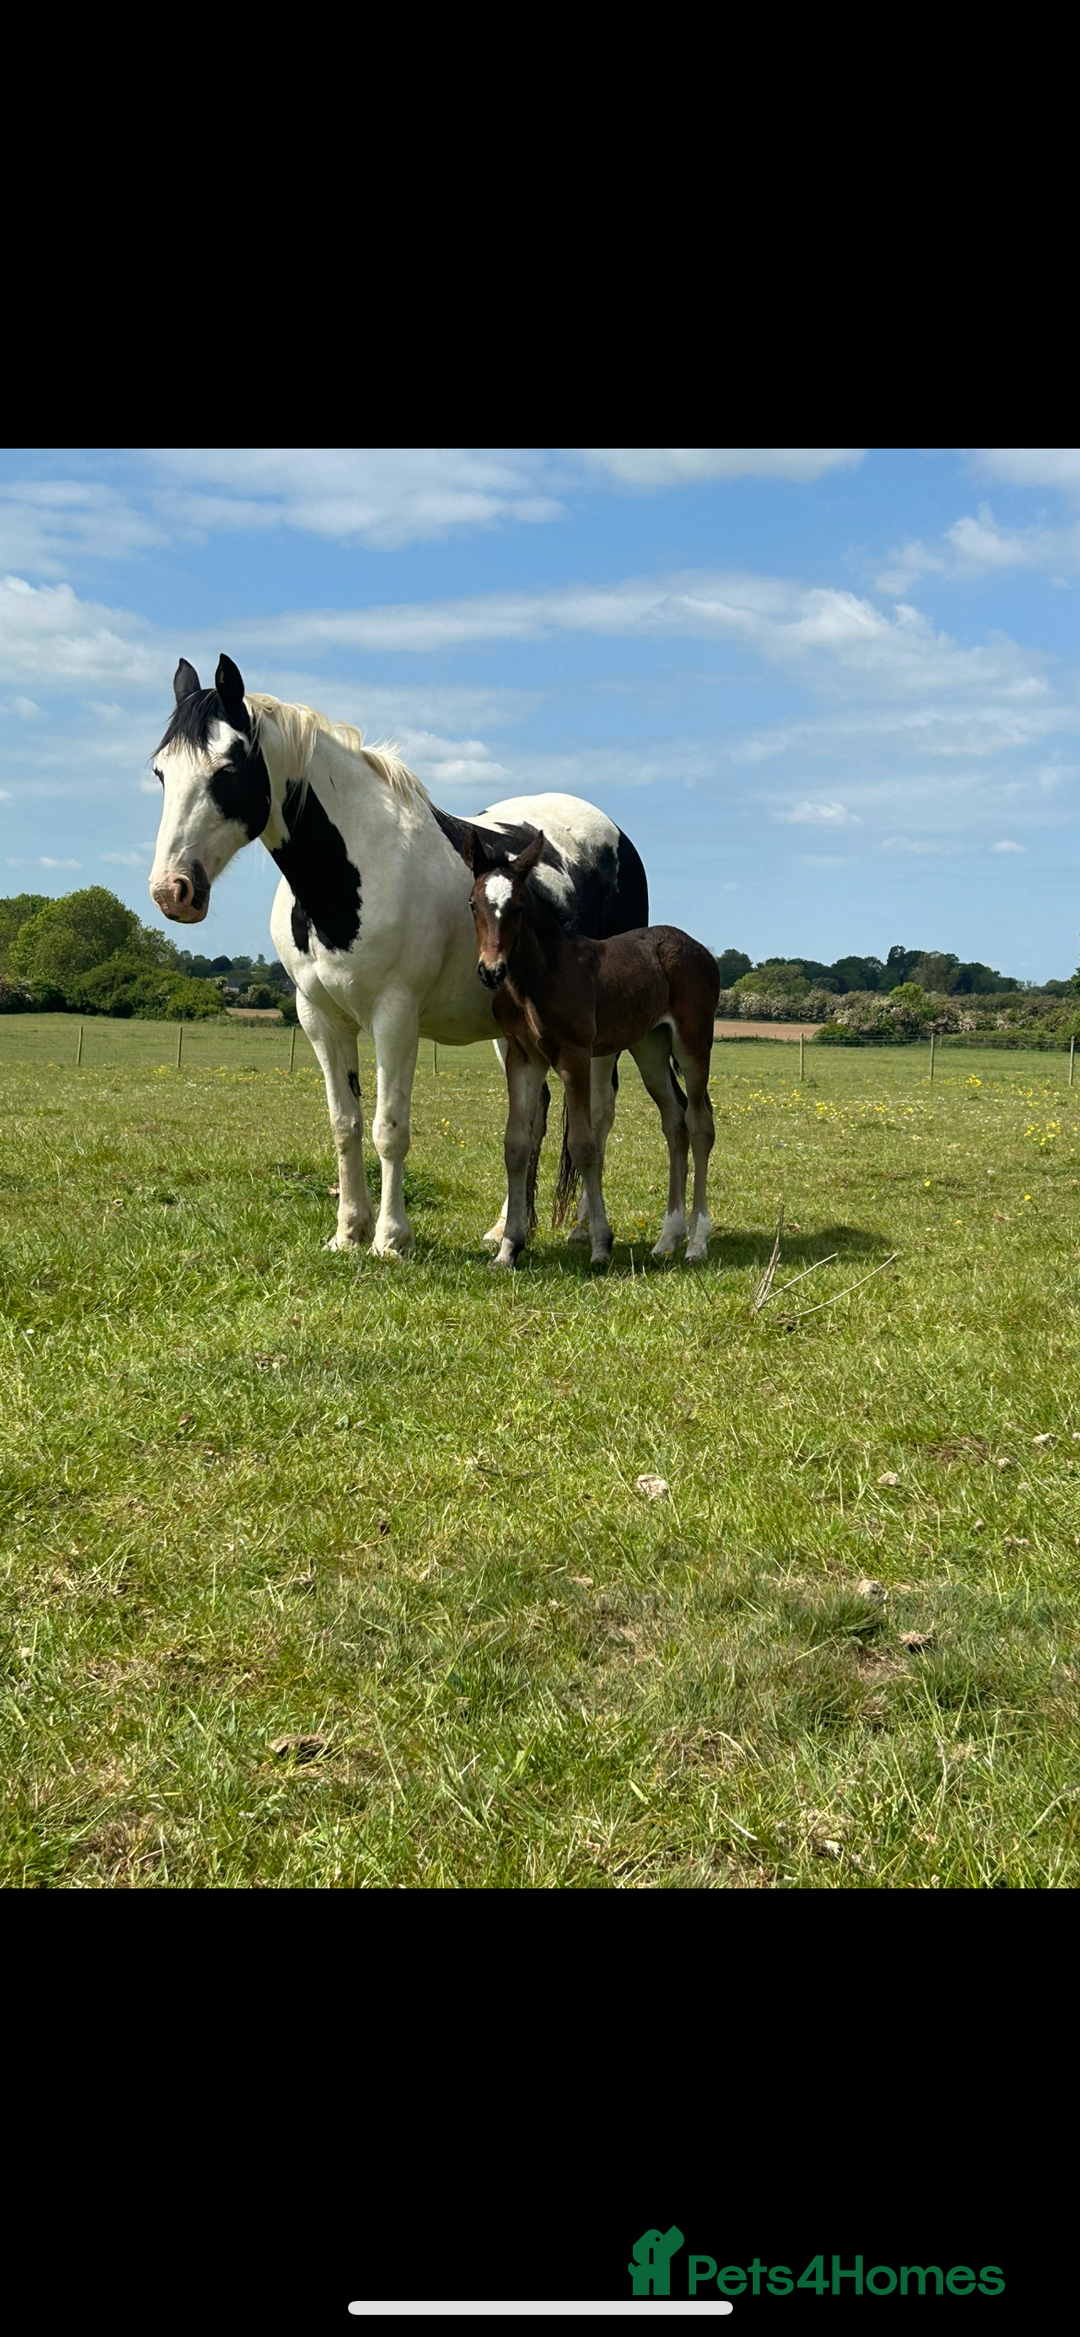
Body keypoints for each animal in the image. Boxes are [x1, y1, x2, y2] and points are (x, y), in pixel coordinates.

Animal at [148, 656, 649, 1259]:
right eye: (161, 773)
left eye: (226, 769)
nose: (172, 891)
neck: (354, 869)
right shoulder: (320, 1019)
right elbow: (345, 1123)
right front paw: (348, 1231)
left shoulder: (395, 1016)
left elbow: (389, 1128)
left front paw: (390, 1239)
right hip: (514, 1034)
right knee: (536, 1119)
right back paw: (508, 1228)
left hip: (597, 1037)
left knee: (594, 1117)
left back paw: (583, 1228)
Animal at [466, 828, 718, 1270]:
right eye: (473, 903)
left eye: (519, 907)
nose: (491, 970)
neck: (539, 976)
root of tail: (701, 951)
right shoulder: (522, 1058)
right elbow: (515, 1144)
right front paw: (508, 1247)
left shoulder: (575, 1055)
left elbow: (583, 1144)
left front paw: (600, 1243)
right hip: (651, 1047)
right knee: (675, 1122)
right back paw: (667, 1238)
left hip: (693, 1043)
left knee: (701, 1123)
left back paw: (696, 1241)